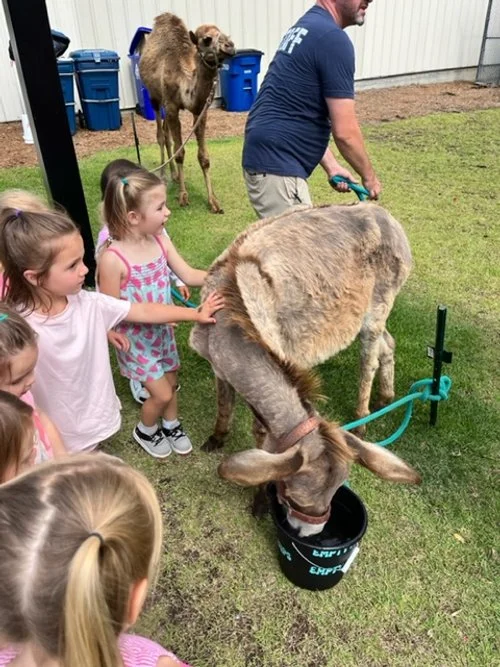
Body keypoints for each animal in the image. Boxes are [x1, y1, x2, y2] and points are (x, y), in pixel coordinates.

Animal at [139, 13, 235, 213]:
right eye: (207, 39)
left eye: (223, 33)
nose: (230, 46)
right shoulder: (171, 106)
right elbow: (180, 152)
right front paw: (183, 196)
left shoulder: (200, 110)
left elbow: (204, 157)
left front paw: (213, 201)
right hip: (155, 98)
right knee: (161, 136)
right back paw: (162, 175)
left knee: (166, 134)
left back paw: (174, 175)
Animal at [190, 203, 420, 537]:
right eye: (293, 496)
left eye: (337, 493)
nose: (311, 534)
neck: (229, 319)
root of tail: (380, 211)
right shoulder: (219, 368)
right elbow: (223, 405)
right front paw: (216, 438)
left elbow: (260, 433)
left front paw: (258, 501)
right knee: (387, 345)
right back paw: (385, 397)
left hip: (377, 306)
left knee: (369, 358)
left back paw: (363, 417)